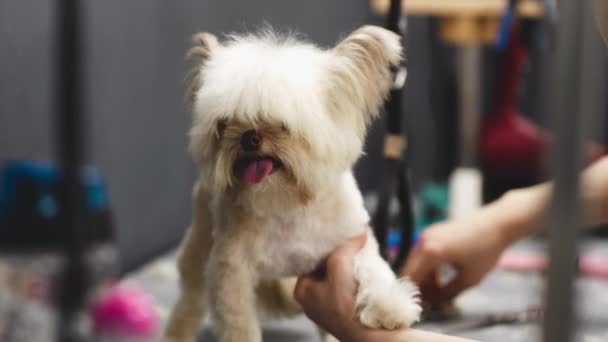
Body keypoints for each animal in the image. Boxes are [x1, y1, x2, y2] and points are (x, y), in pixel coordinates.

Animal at [164, 26, 420, 342]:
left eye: (282, 124)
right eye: (225, 123)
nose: (248, 137)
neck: (288, 206)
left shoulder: (350, 244)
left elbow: (374, 270)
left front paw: (388, 307)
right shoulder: (230, 274)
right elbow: (239, 325)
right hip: (199, 246)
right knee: (189, 303)